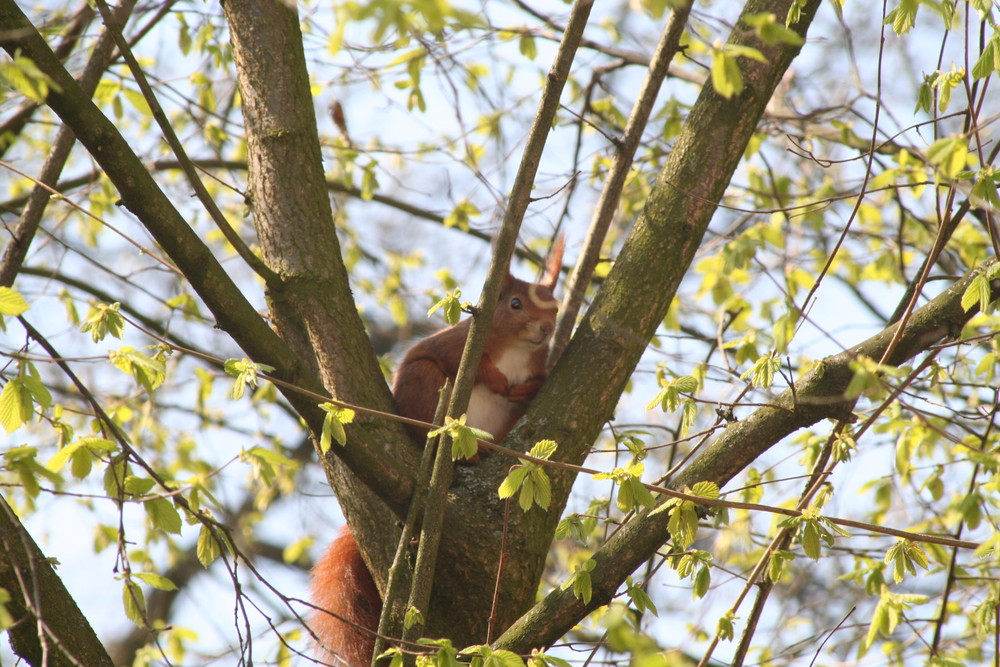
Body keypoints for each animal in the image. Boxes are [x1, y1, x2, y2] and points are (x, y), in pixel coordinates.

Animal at [308, 243, 564, 664]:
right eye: (514, 304)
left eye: (556, 309)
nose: (546, 330)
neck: (514, 349)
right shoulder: (459, 345)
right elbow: (464, 362)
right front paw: (496, 379)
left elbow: (537, 381)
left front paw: (526, 388)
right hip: (427, 386)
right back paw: (465, 455)